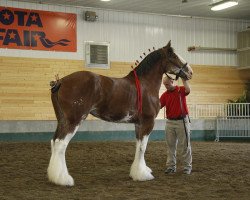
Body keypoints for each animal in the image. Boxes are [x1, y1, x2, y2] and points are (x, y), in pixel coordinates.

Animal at [47, 40, 194, 186]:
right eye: (174, 55)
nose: (190, 72)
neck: (145, 84)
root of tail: (60, 81)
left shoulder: (138, 124)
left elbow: (138, 146)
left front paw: (137, 171)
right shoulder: (148, 122)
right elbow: (143, 148)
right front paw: (143, 175)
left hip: (62, 120)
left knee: (54, 142)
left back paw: (54, 176)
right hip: (74, 120)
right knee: (61, 144)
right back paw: (63, 179)